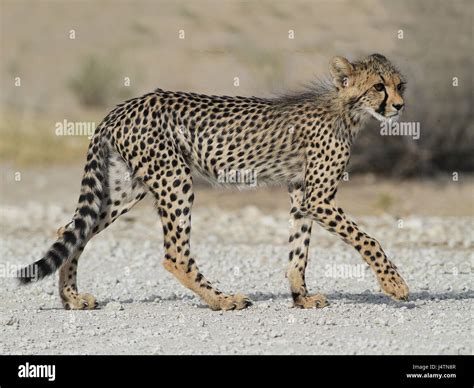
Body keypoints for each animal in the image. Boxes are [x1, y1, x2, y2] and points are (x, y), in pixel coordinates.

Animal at [18, 53, 410, 310]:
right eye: (379, 87)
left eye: (400, 84)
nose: (400, 105)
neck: (347, 110)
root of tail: (124, 106)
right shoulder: (319, 198)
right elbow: (369, 239)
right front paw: (394, 284)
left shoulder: (302, 194)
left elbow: (299, 250)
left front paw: (301, 297)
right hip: (174, 179)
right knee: (175, 255)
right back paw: (223, 300)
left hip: (126, 189)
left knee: (71, 231)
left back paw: (71, 299)